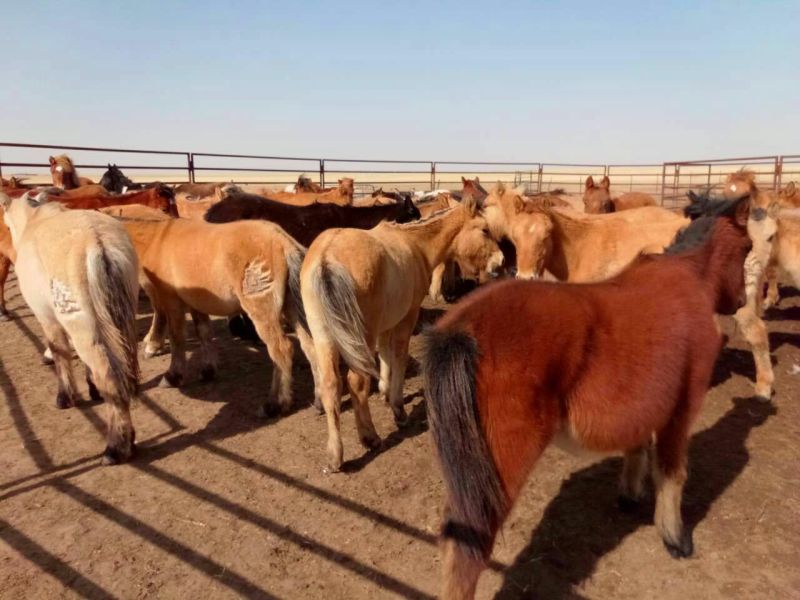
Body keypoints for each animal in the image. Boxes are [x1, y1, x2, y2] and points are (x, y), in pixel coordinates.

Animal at [1, 192, 139, 464]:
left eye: (7, 225)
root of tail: (99, 243)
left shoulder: (48, 320)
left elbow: (59, 353)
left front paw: (65, 397)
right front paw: (92, 390)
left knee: (110, 378)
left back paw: (116, 448)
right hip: (119, 323)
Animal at [300, 195, 503, 472]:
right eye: (484, 230)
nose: (500, 262)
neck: (415, 245)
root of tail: (326, 259)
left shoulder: (386, 325)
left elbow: (386, 356)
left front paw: (385, 391)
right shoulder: (406, 320)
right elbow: (399, 356)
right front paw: (397, 408)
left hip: (324, 338)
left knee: (331, 384)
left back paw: (335, 456)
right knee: (357, 382)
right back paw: (370, 437)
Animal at [423, 194, 752, 599]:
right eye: (748, 246)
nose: (740, 301)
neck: (687, 278)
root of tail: (462, 329)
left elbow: (637, 448)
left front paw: (629, 496)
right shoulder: (682, 409)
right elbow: (673, 473)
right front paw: (675, 539)